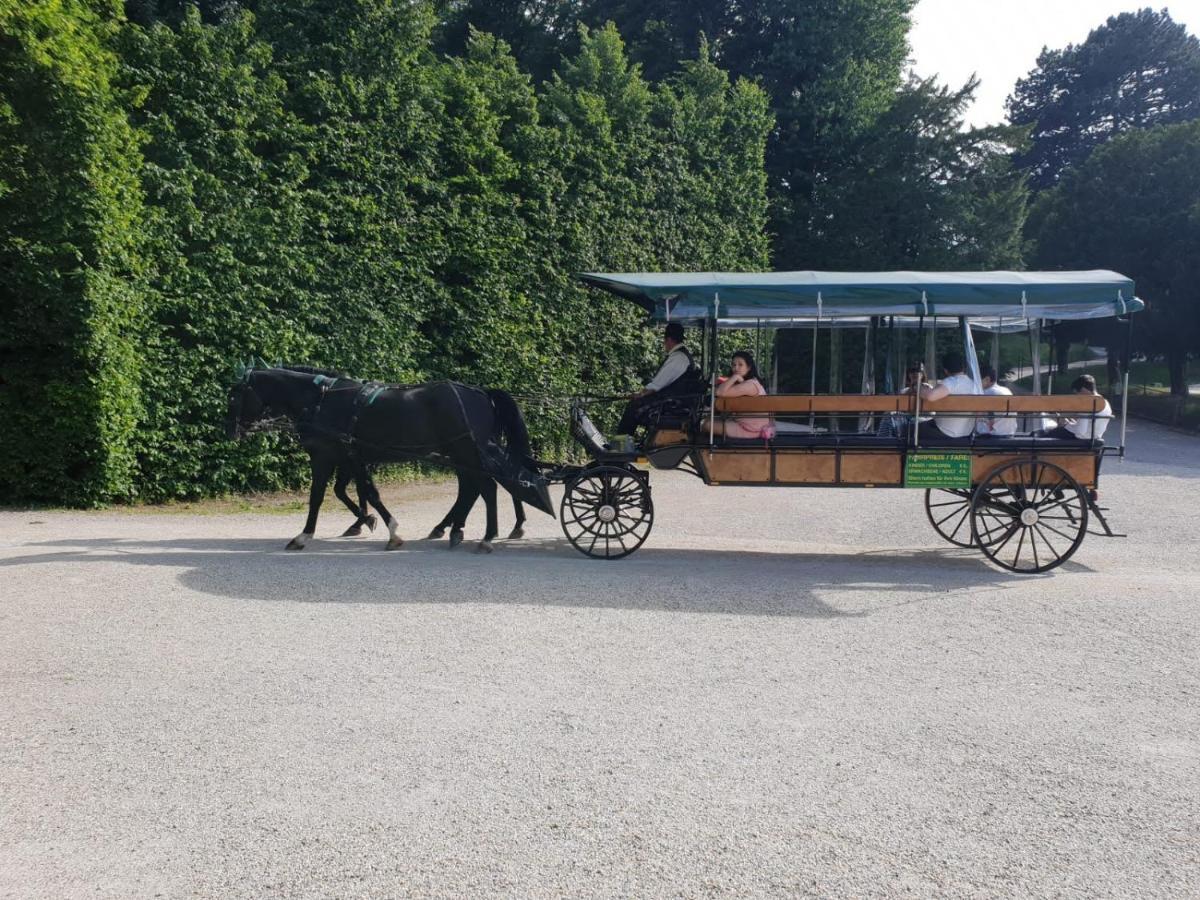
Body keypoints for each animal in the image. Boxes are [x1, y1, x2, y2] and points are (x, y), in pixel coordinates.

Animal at [225, 364, 552, 549]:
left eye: (233, 395)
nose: (230, 431)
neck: (321, 401)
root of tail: (479, 392)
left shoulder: (326, 456)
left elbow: (322, 495)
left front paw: (305, 535)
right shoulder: (353, 457)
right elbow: (359, 491)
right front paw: (368, 521)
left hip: (468, 452)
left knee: (487, 487)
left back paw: (485, 536)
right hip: (460, 453)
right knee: (473, 489)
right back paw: (455, 529)